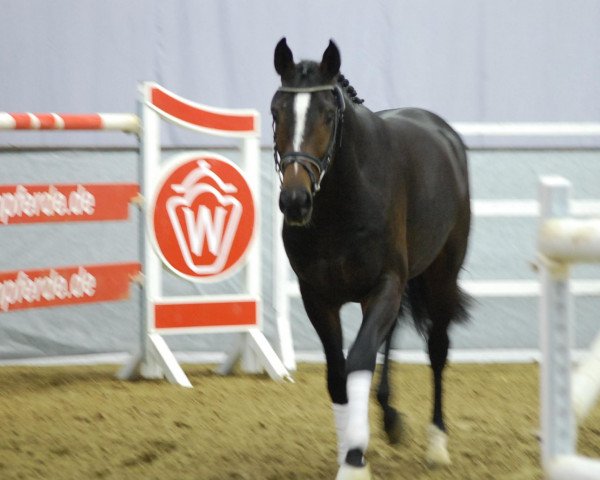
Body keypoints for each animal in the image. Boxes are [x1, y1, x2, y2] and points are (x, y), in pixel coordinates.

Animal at [270, 38, 472, 480]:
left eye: (328, 115)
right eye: (276, 111)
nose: (295, 201)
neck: (342, 203)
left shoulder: (384, 286)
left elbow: (358, 361)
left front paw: (355, 460)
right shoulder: (318, 297)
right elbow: (336, 375)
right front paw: (350, 447)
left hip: (441, 276)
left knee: (437, 349)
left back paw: (437, 443)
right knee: (391, 335)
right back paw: (390, 417)